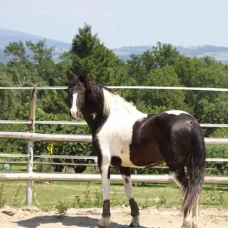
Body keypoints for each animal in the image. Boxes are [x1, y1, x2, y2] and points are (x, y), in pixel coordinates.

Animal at [65, 71, 207, 228]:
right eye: (69, 91)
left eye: (82, 91)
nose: (73, 113)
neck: (108, 118)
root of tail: (191, 122)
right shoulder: (123, 165)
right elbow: (129, 191)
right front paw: (134, 221)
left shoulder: (104, 162)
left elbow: (106, 190)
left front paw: (104, 220)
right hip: (191, 166)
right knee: (196, 189)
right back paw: (194, 222)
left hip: (176, 168)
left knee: (188, 189)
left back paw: (187, 222)